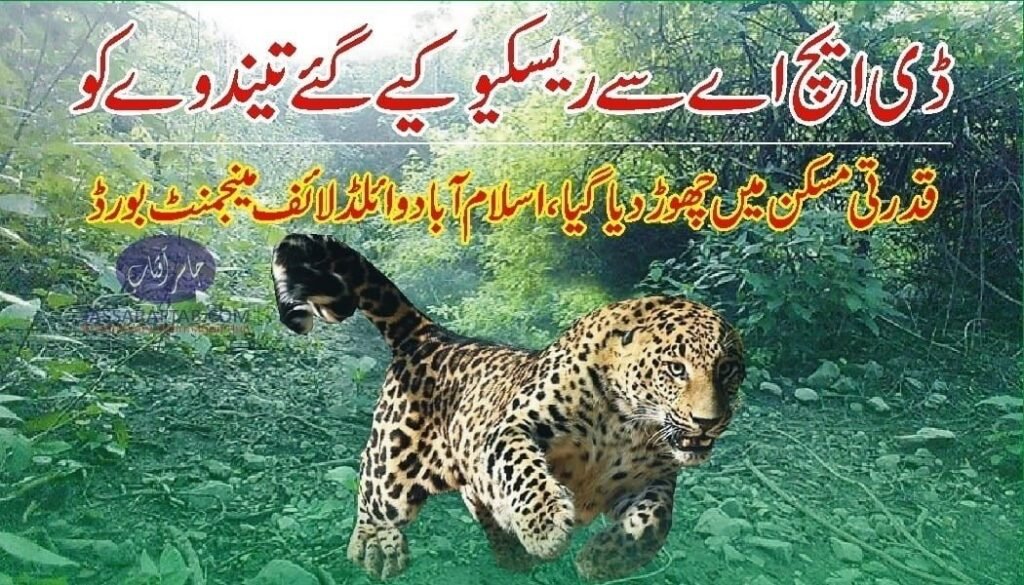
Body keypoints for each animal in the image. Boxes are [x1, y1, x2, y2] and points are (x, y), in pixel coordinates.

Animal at [271, 233, 745, 581]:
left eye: (728, 370)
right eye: (676, 368)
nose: (708, 421)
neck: (628, 426)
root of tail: (431, 335)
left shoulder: (652, 478)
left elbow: (653, 523)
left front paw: (603, 560)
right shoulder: (511, 429)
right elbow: (524, 471)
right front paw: (546, 526)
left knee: (474, 497)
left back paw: (511, 551)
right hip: (395, 458)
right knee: (375, 493)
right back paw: (374, 546)